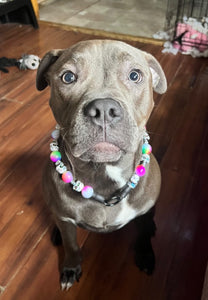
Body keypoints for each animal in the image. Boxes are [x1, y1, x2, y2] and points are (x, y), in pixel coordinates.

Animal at [35, 38, 166, 290]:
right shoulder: (66, 220)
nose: (104, 109)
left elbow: (144, 234)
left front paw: (146, 255)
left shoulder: (145, 208)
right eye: (68, 77)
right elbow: (71, 245)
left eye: (135, 75)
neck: (104, 175)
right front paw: (70, 267)